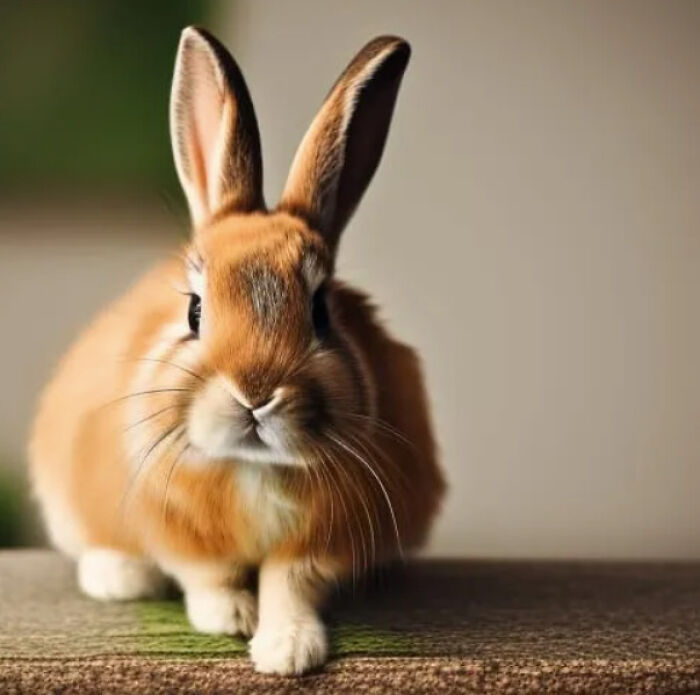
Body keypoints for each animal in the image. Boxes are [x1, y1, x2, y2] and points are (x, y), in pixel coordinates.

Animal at [29, 26, 445, 676]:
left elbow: (290, 583)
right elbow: (210, 576)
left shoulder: (321, 545)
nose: (255, 393)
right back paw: (117, 576)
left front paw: (287, 650)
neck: (254, 468)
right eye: (194, 311)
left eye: (321, 310)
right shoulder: (182, 537)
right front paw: (232, 619)